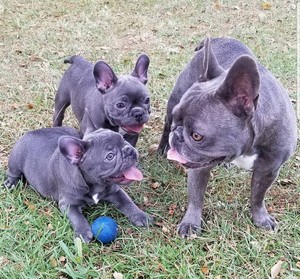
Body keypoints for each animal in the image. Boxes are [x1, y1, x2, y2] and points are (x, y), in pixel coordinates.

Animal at [3, 126, 151, 242]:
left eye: (124, 140)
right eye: (110, 156)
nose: (129, 150)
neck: (95, 184)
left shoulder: (116, 192)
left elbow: (127, 202)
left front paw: (141, 215)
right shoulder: (68, 204)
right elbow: (77, 217)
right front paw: (83, 233)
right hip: (16, 160)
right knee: (13, 172)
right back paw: (11, 183)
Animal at [158, 36, 296, 238]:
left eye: (197, 136)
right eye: (177, 119)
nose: (177, 135)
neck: (248, 146)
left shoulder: (269, 170)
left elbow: (258, 196)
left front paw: (261, 218)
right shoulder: (199, 166)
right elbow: (196, 196)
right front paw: (191, 224)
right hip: (173, 100)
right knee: (166, 125)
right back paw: (162, 148)